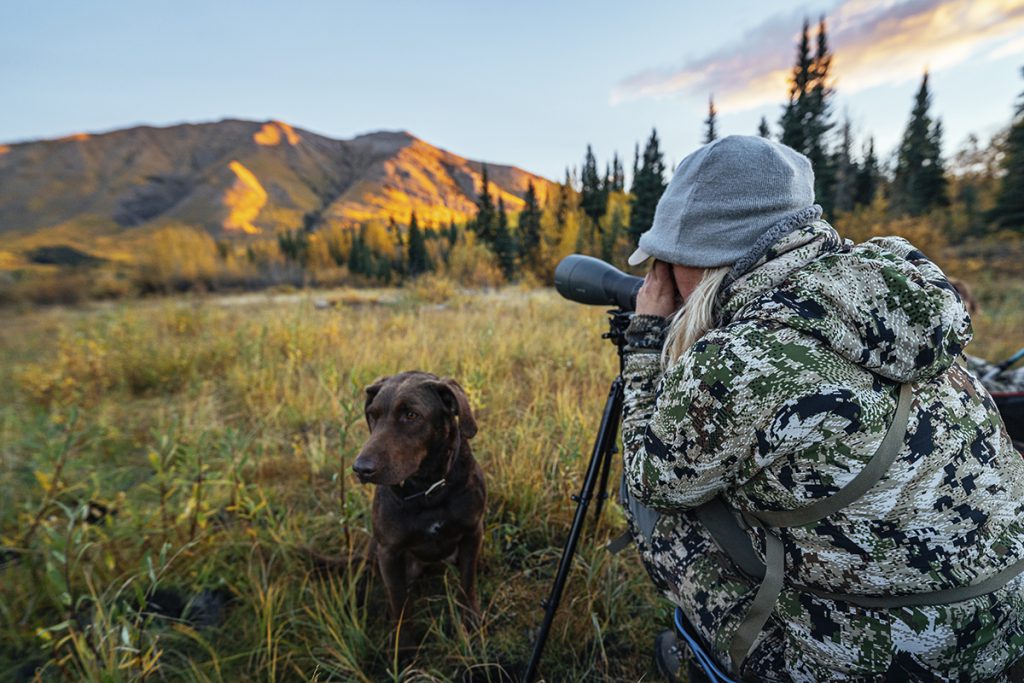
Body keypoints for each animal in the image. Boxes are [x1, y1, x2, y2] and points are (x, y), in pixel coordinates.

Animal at [354, 370, 485, 651]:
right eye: (373, 414)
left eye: (411, 415)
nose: (360, 469)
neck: (429, 491)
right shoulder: (389, 553)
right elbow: (399, 603)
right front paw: (402, 647)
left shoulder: (472, 532)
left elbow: (468, 582)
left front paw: (469, 620)